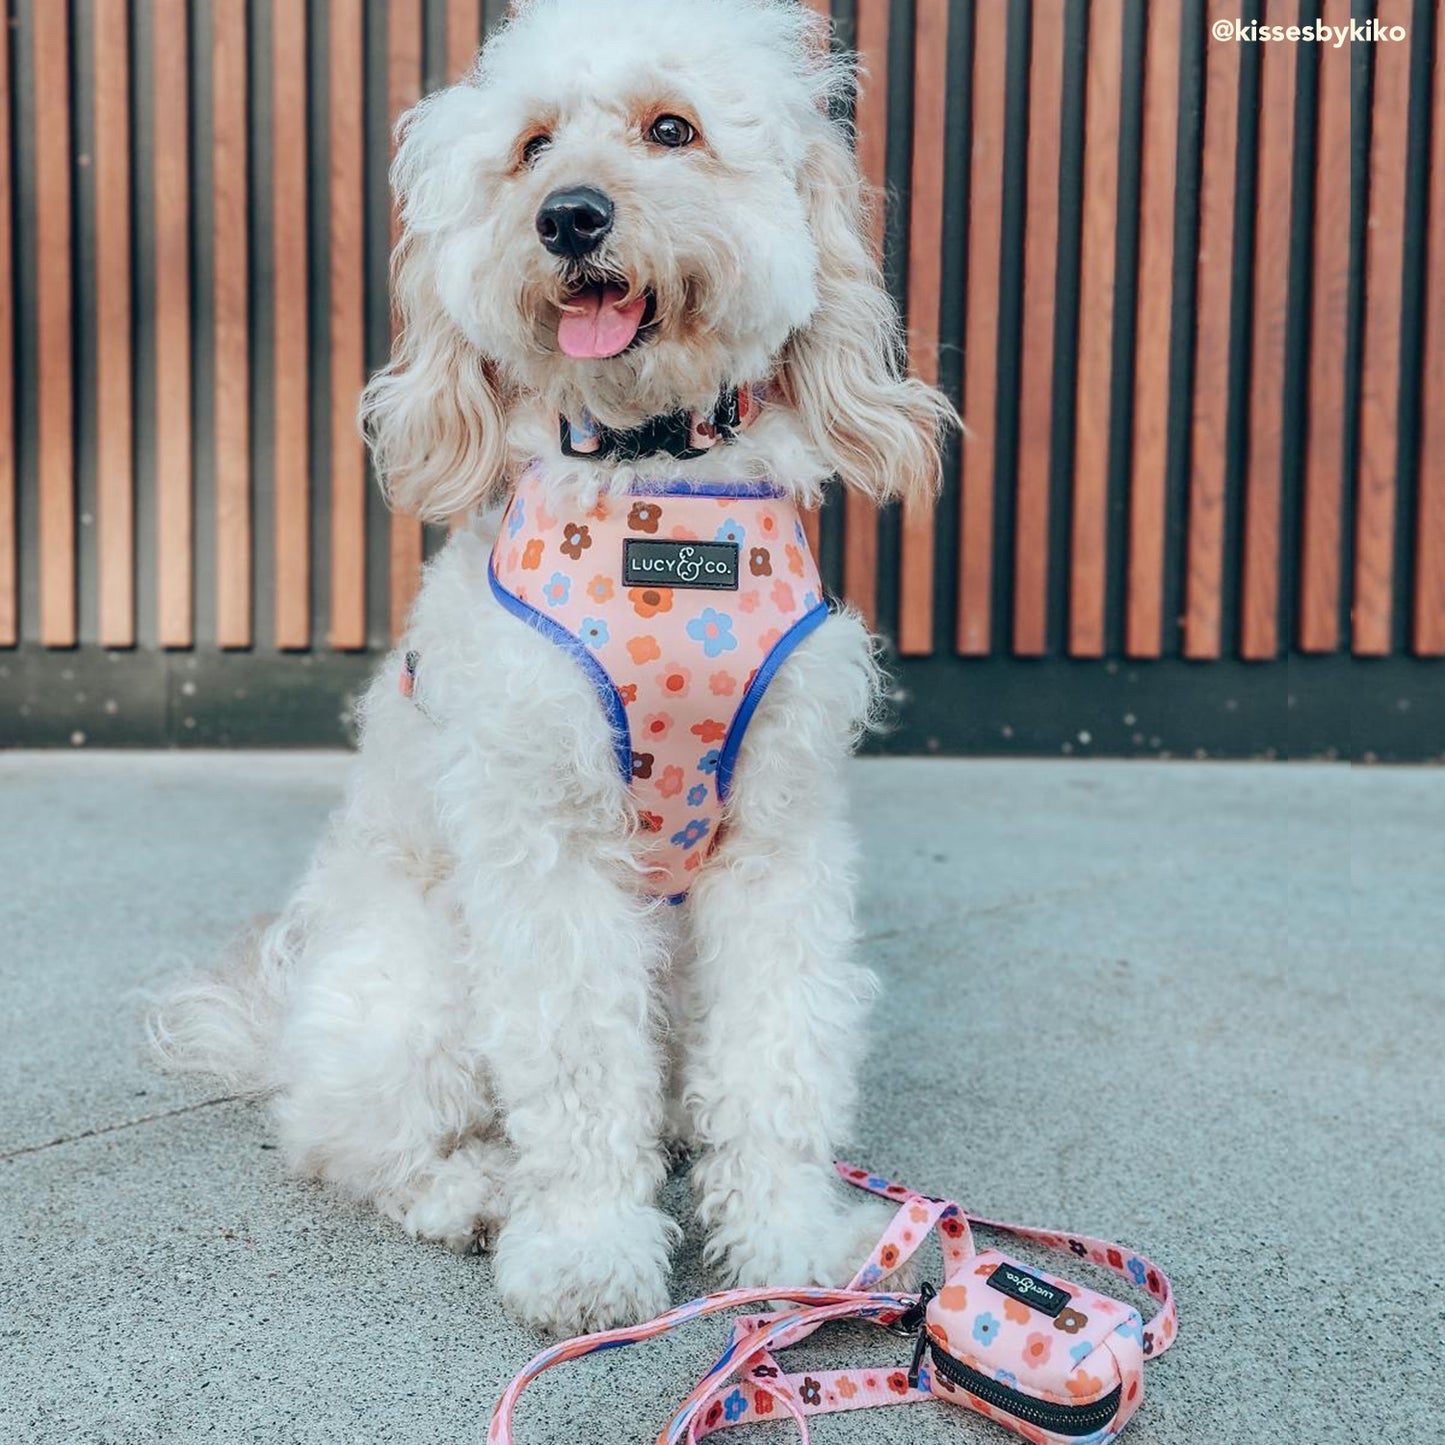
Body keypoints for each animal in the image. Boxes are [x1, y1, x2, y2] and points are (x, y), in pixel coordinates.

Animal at [155, 0, 947, 1335]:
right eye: (528, 148)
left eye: (670, 128)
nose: (568, 216)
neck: (650, 481)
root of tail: (287, 1024)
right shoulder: (546, 843)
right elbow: (575, 1065)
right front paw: (583, 1252)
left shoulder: (776, 835)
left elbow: (776, 1048)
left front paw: (786, 1238)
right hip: (418, 984)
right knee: (347, 1135)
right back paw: (468, 1190)